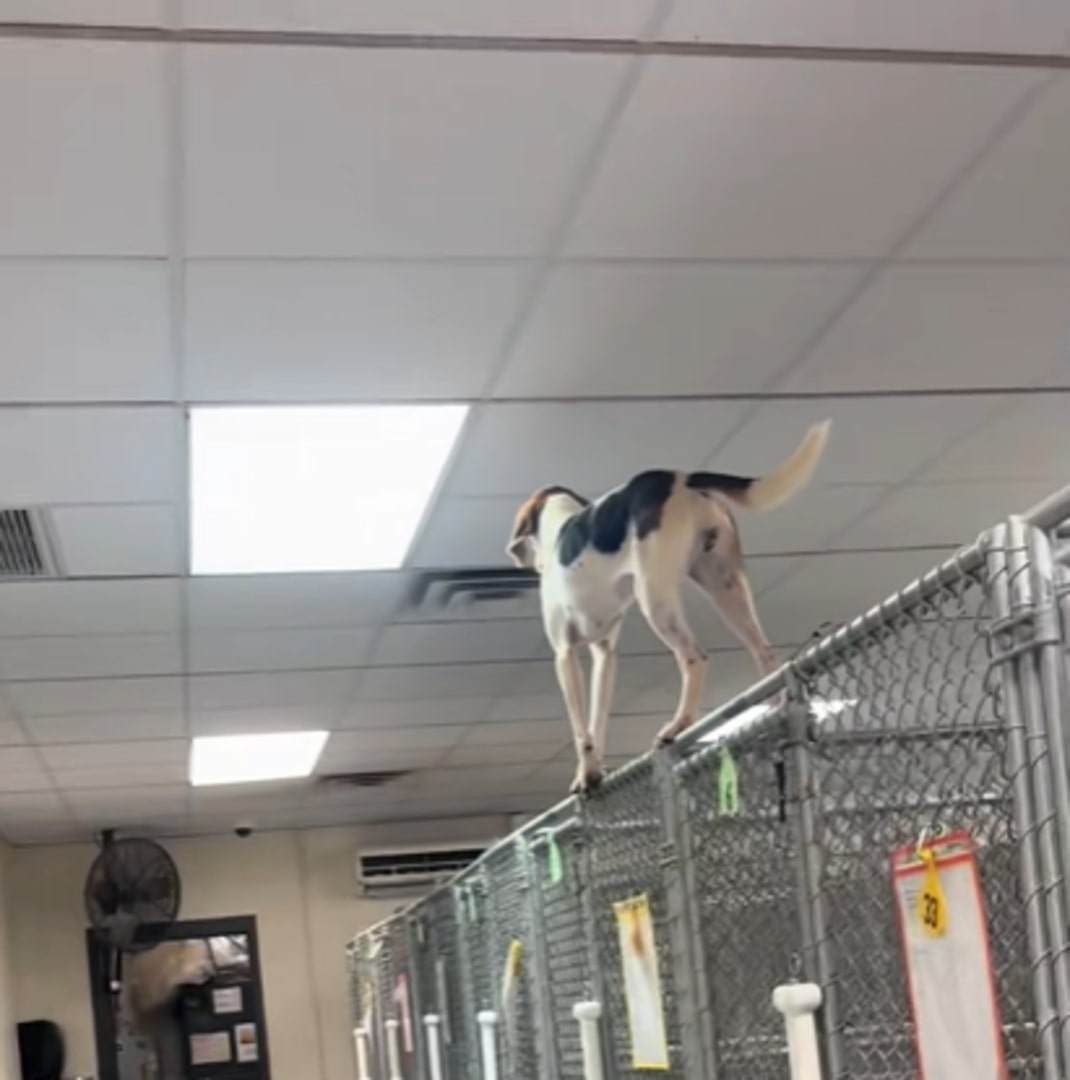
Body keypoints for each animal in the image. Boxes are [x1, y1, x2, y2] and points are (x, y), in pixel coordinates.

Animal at [505, 421, 833, 794]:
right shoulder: (605, 654)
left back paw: (677, 726)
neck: (558, 529)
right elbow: (597, 721)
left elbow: (581, 731)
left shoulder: (564, 653)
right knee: (764, 655)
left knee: (695, 658)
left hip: (656, 597)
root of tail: (681, 477)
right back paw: (774, 712)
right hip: (726, 588)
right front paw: (594, 770)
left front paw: (585, 774)